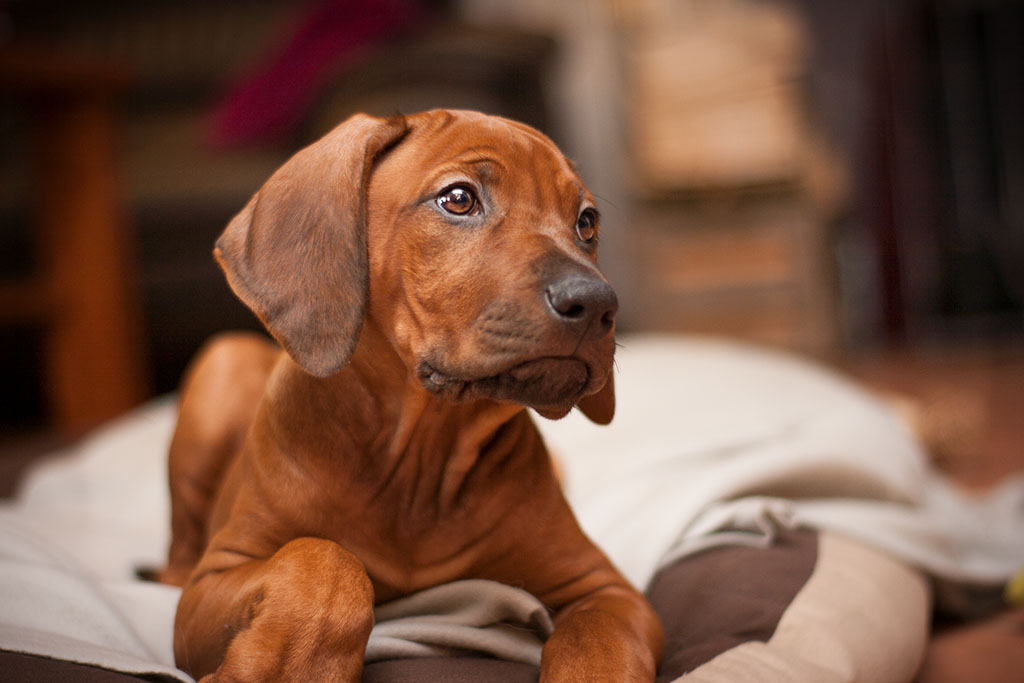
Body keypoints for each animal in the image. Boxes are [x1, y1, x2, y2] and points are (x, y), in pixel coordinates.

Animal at [159, 109, 663, 679]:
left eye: (586, 222)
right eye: (459, 199)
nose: (596, 302)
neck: (418, 466)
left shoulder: (606, 590)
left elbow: (598, 642)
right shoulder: (213, 581)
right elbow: (325, 563)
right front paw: (288, 668)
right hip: (222, 368)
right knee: (179, 555)